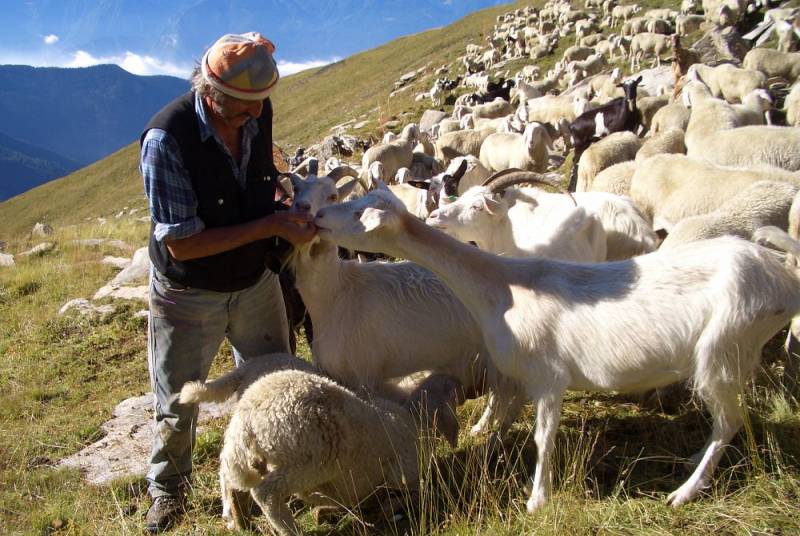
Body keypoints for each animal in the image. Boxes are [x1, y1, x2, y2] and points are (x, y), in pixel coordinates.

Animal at [191, 368, 460, 536]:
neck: (413, 417)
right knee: (266, 493)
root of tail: (248, 415)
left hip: (247, 454)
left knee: (234, 481)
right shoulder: (404, 472)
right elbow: (403, 493)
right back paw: (291, 530)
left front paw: (329, 511)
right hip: (310, 459)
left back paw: (243, 522)